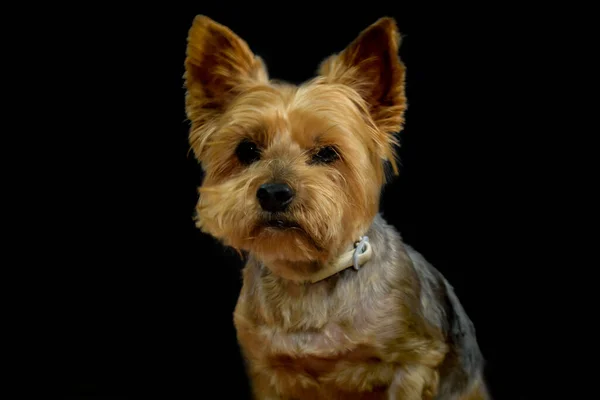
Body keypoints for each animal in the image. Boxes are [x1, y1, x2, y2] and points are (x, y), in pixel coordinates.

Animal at [184, 14, 492, 398]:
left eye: (327, 153)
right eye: (246, 150)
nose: (273, 193)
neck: (305, 277)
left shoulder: (415, 362)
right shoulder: (267, 371)